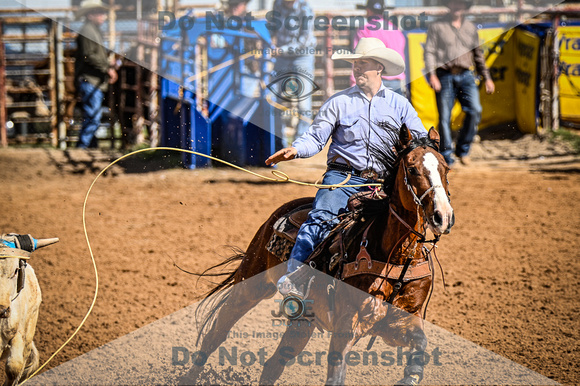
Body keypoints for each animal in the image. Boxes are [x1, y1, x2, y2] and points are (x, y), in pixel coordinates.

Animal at [184, 125, 456, 384]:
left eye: (446, 169)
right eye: (412, 169)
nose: (443, 216)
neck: (395, 258)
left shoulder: (400, 321)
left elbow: (420, 345)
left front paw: (410, 375)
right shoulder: (347, 325)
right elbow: (335, 375)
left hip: (303, 320)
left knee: (273, 365)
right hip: (251, 284)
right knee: (215, 335)